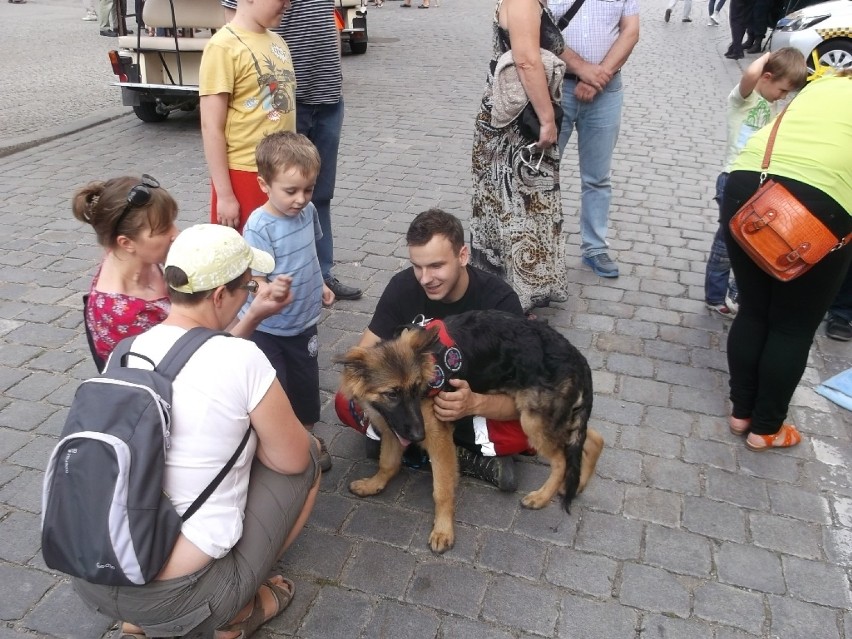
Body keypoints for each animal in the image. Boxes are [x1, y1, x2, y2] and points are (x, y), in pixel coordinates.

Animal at [336, 312, 604, 556]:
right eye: (392, 394)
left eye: (416, 389)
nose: (418, 436)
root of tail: (576, 355)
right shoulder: (394, 428)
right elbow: (387, 464)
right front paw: (373, 485)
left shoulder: (438, 438)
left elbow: (442, 490)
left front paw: (443, 530)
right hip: (549, 416)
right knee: (591, 439)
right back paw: (577, 484)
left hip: (533, 421)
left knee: (561, 459)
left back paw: (541, 496)